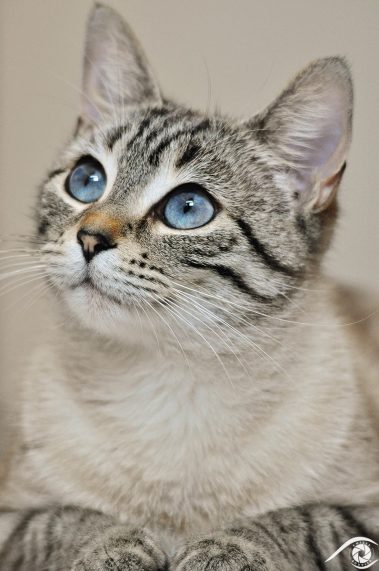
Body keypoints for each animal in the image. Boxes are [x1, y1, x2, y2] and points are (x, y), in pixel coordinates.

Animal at [0, 4, 379, 571]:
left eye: (187, 209)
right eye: (86, 181)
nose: (89, 238)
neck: (166, 378)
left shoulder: (363, 517)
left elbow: (294, 520)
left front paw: (215, 550)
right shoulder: (11, 519)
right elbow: (70, 521)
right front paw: (124, 548)